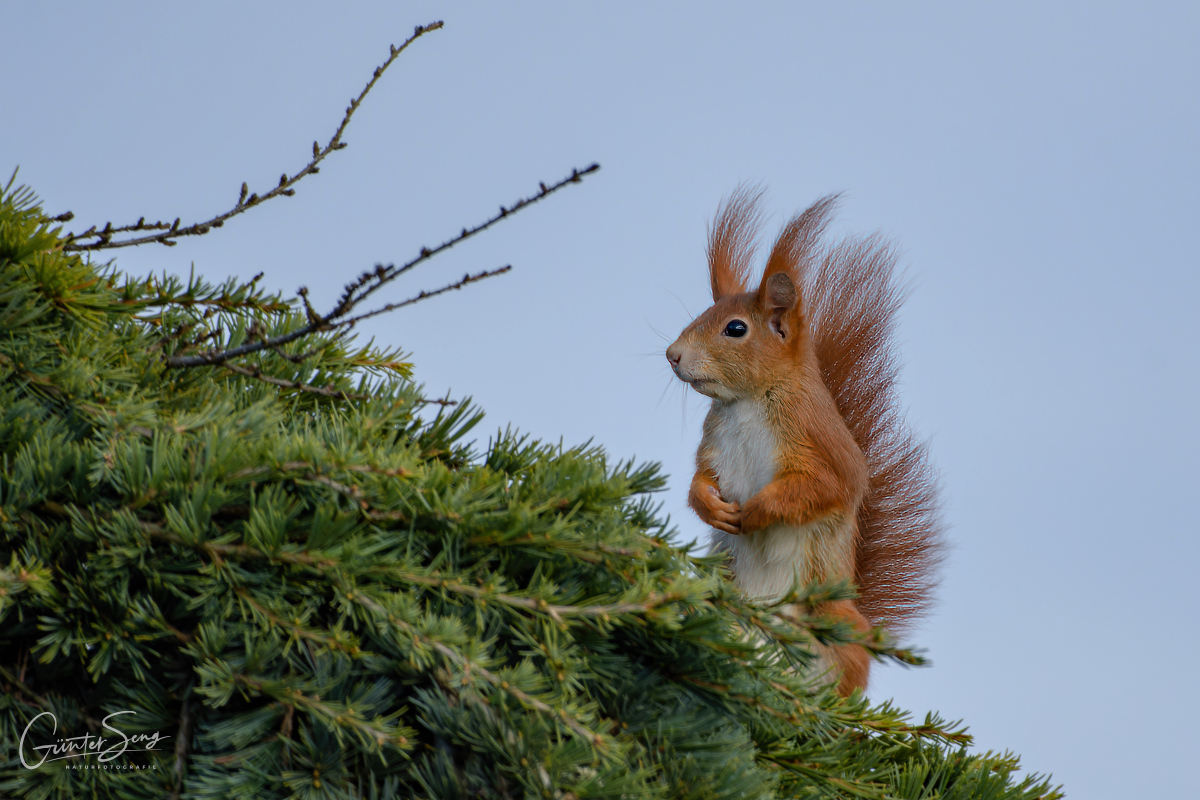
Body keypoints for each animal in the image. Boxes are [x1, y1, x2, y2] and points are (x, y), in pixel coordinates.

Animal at [667, 190, 936, 695]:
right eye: (700, 314)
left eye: (735, 328)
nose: (672, 355)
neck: (748, 402)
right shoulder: (713, 445)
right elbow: (699, 478)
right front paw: (711, 506)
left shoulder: (819, 445)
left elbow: (821, 488)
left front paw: (757, 510)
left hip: (830, 620)